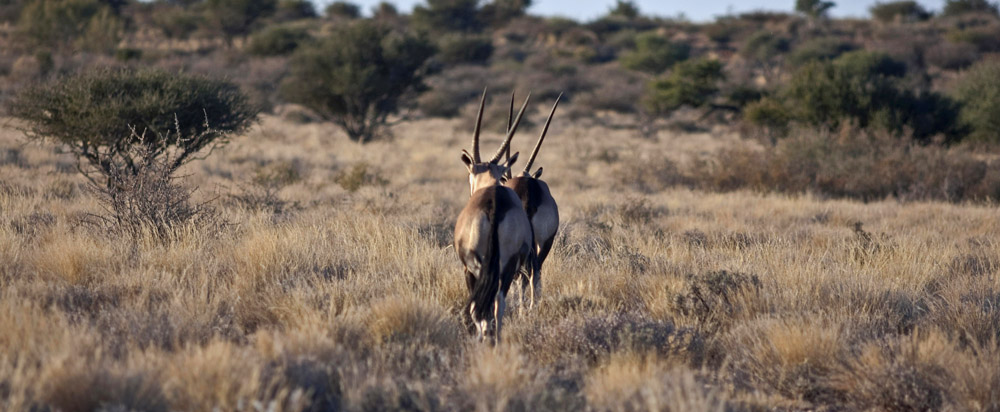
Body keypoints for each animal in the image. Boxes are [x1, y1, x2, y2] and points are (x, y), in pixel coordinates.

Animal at [456, 89, 540, 344]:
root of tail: (494, 203)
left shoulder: (467, 269)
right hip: (507, 266)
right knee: (499, 302)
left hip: (480, 266)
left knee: (481, 307)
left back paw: (484, 339)